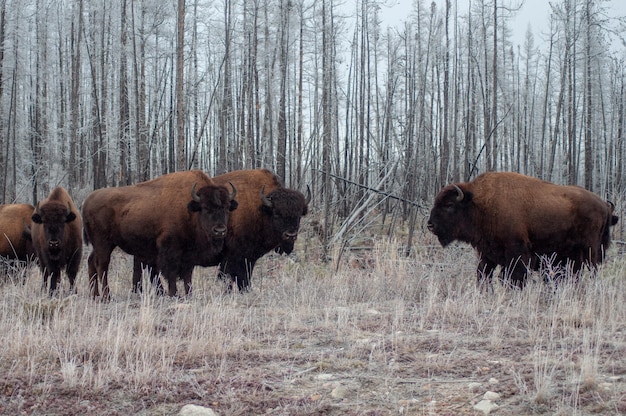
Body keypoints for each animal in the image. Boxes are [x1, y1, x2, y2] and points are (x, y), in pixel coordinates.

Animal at [82, 169, 236, 300]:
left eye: (226, 208)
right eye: (205, 208)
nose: (220, 231)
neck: (190, 209)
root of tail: (87, 200)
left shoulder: (189, 254)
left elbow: (187, 276)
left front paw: (189, 295)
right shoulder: (170, 249)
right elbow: (171, 273)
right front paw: (174, 294)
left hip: (100, 245)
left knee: (91, 262)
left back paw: (95, 295)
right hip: (104, 243)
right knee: (102, 266)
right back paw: (107, 297)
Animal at [135, 168, 310, 292]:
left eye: (299, 215)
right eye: (277, 213)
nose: (290, 235)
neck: (259, 208)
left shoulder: (249, 258)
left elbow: (244, 279)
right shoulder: (234, 257)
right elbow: (233, 278)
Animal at [426, 172, 616, 290]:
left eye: (449, 205)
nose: (430, 225)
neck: (479, 204)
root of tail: (604, 206)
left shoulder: (516, 252)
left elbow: (514, 276)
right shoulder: (487, 253)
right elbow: (483, 273)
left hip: (590, 251)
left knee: (591, 271)